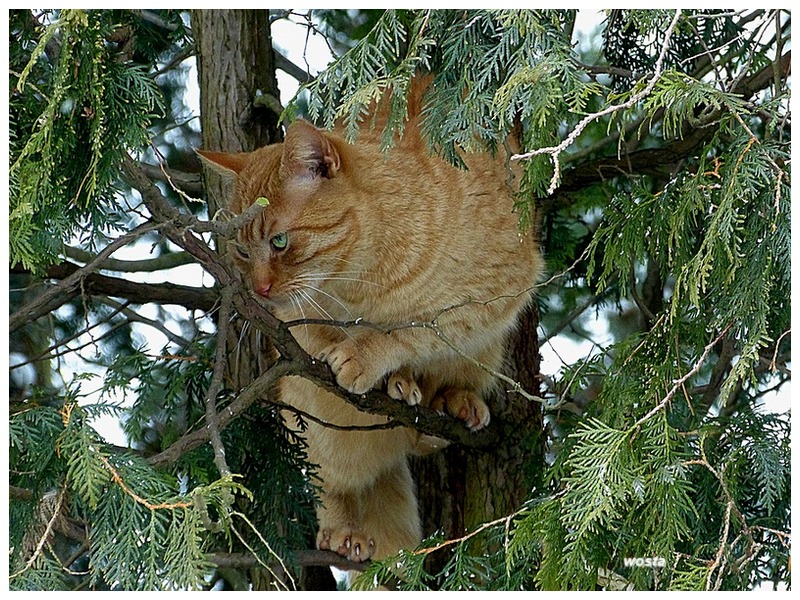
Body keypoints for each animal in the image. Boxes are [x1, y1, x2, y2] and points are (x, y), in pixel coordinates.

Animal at [197, 78, 540, 572]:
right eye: (242, 252)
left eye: (279, 242)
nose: (259, 289)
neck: (360, 280)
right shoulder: (294, 322)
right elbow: (321, 334)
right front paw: (366, 361)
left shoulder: (500, 289)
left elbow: (414, 329)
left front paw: (370, 353)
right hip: (314, 420)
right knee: (332, 474)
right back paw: (345, 525)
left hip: (485, 352)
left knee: (430, 419)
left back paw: (448, 402)